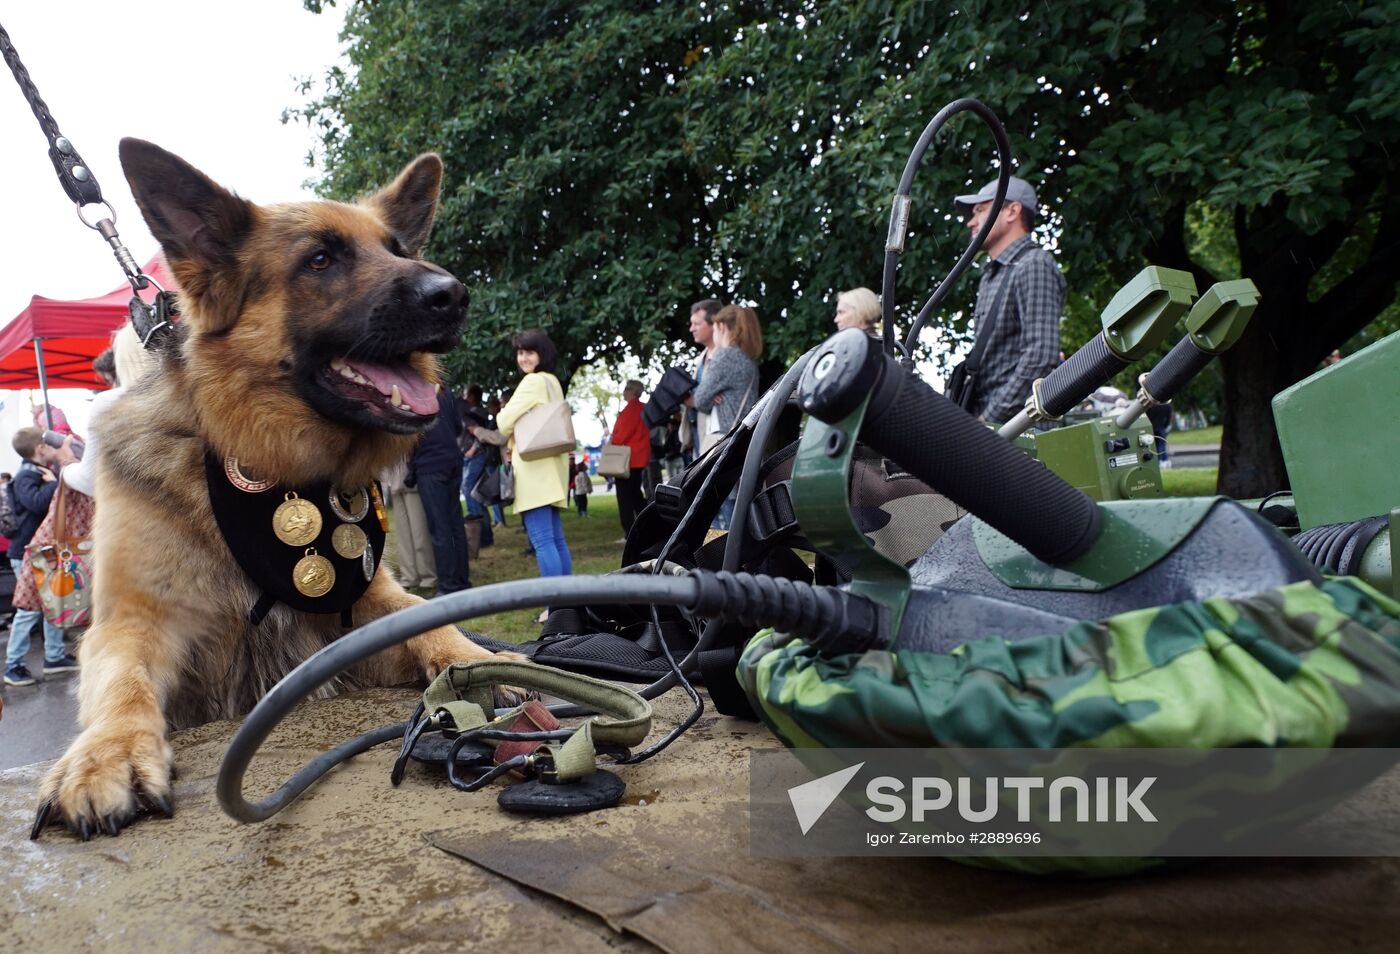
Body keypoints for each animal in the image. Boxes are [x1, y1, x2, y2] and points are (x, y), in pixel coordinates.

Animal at [32, 137, 512, 834]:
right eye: (320, 259)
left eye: (399, 249)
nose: (454, 294)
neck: (269, 469)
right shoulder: (132, 624)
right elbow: (124, 684)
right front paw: (107, 755)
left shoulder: (360, 616)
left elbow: (431, 624)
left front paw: (492, 661)